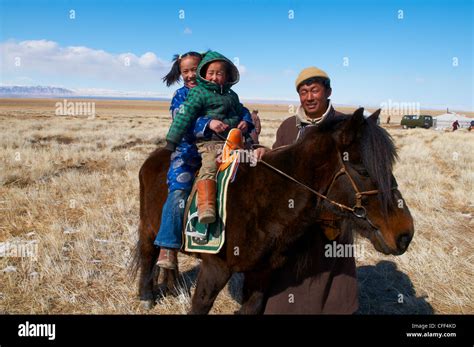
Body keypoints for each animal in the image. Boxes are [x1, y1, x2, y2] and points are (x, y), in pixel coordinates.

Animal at [131, 109, 412, 316]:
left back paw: (172, 285)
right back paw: (146, 296)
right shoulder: (215, 269)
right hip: (148, 228)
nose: (405, 233)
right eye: (363, 170)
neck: (265, 202)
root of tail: (154, 157)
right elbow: (200, 306)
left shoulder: (262, 273)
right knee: (148, 254)